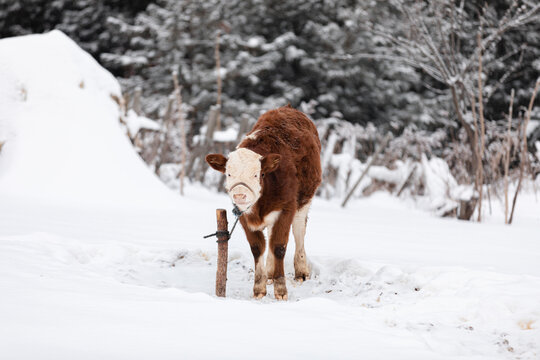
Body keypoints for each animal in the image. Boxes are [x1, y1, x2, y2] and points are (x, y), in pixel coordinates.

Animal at [205, 105, 318, 300]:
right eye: (229, 173)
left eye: (257, 174)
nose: (239, 195)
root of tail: (287, 108)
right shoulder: (243, 215)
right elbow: (258, 248)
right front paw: (259, 287)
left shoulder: (286, 209)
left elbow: (279, 246)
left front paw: (281, 289)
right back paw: (270, 273)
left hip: (304, 200)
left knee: (298, 232)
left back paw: (301, 271)